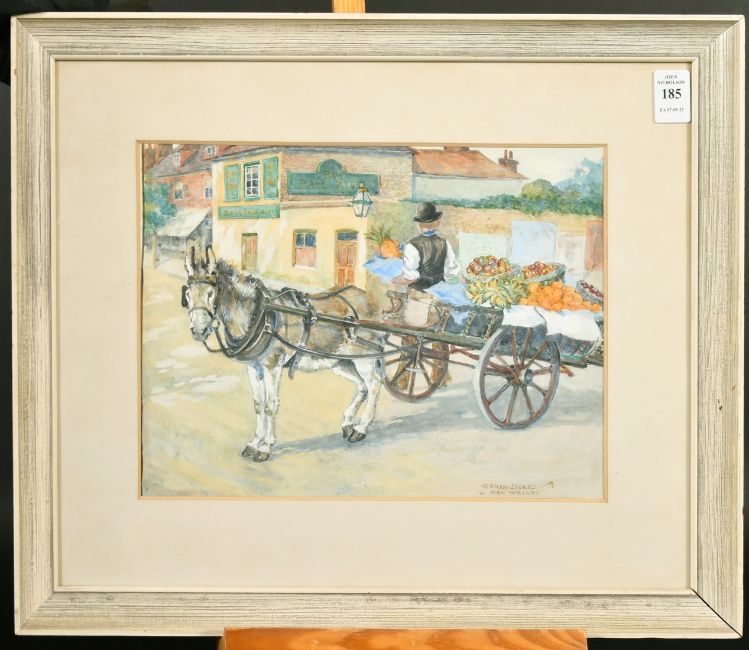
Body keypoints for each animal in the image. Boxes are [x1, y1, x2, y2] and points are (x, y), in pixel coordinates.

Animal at [181, 246, 386, 462]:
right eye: (188, 294)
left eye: (211, 293)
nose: (198, 331)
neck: (259, 314)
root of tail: (371, 298)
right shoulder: (253, 366)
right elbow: (258, 404)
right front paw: (254, 443)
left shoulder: (272, 365)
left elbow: (270, 405)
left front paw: (265, 448)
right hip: (341, 361)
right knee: (362, 386)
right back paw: (348, 423)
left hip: (365, 358)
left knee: (373, 385)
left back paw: (361, 429)